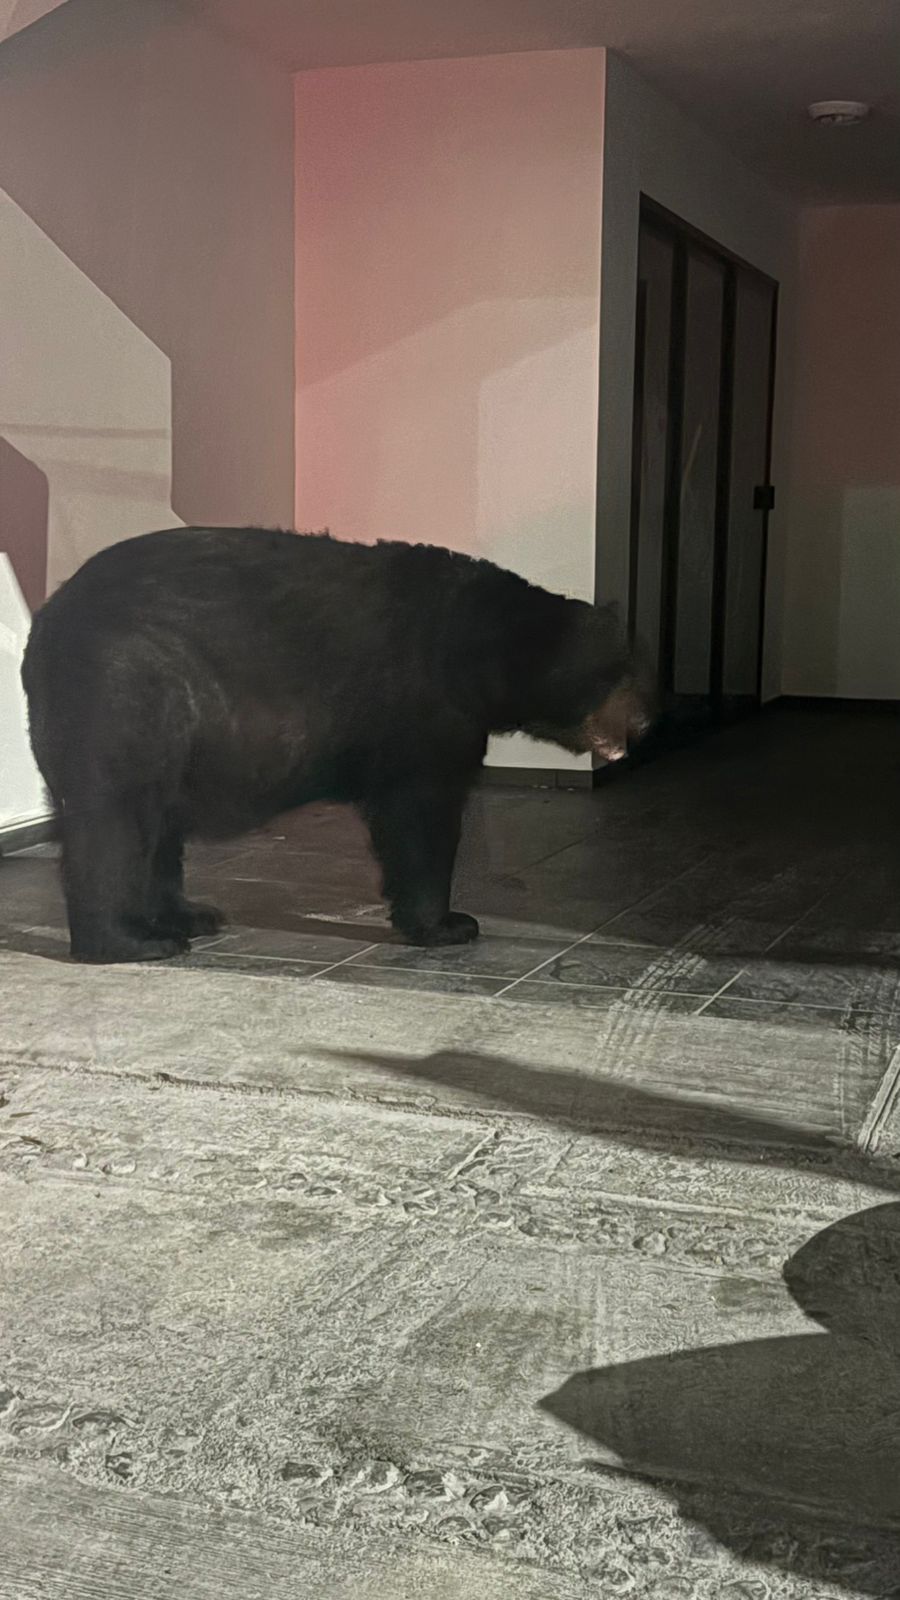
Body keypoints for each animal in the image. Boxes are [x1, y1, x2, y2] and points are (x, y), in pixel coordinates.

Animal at [22, 527, 653, 964]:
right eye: (620, 669)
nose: (649, 720)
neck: (477, 652)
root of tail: (46, 624)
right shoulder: (420, 707)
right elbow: (421, 812)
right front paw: (449, 923)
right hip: (126, 691)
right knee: (114, 819)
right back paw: (131, 940)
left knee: (156, 827)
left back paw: (187, 916)